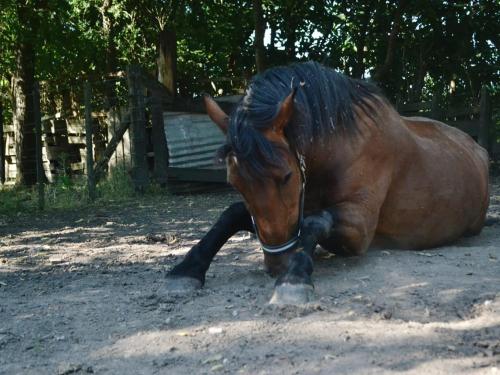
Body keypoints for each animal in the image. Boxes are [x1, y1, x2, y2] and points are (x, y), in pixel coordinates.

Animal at [167, 61, 488, 306]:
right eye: (235, 182)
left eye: (286, 176)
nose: (276, 265)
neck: (341, 148)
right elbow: (232, 214)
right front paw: (187, 269)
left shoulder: (358, 227)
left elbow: (315, 222)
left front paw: (294, 279)